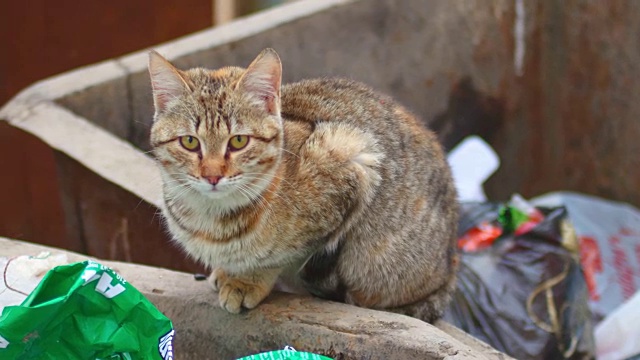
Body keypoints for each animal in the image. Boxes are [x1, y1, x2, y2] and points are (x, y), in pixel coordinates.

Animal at [149, 48, 460, 324]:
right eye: (190, 142)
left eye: (238, 141)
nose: (212, 176)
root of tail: (450, 266)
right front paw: (228, 272)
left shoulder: (354, 157)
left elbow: (279, 257)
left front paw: (247, 281)